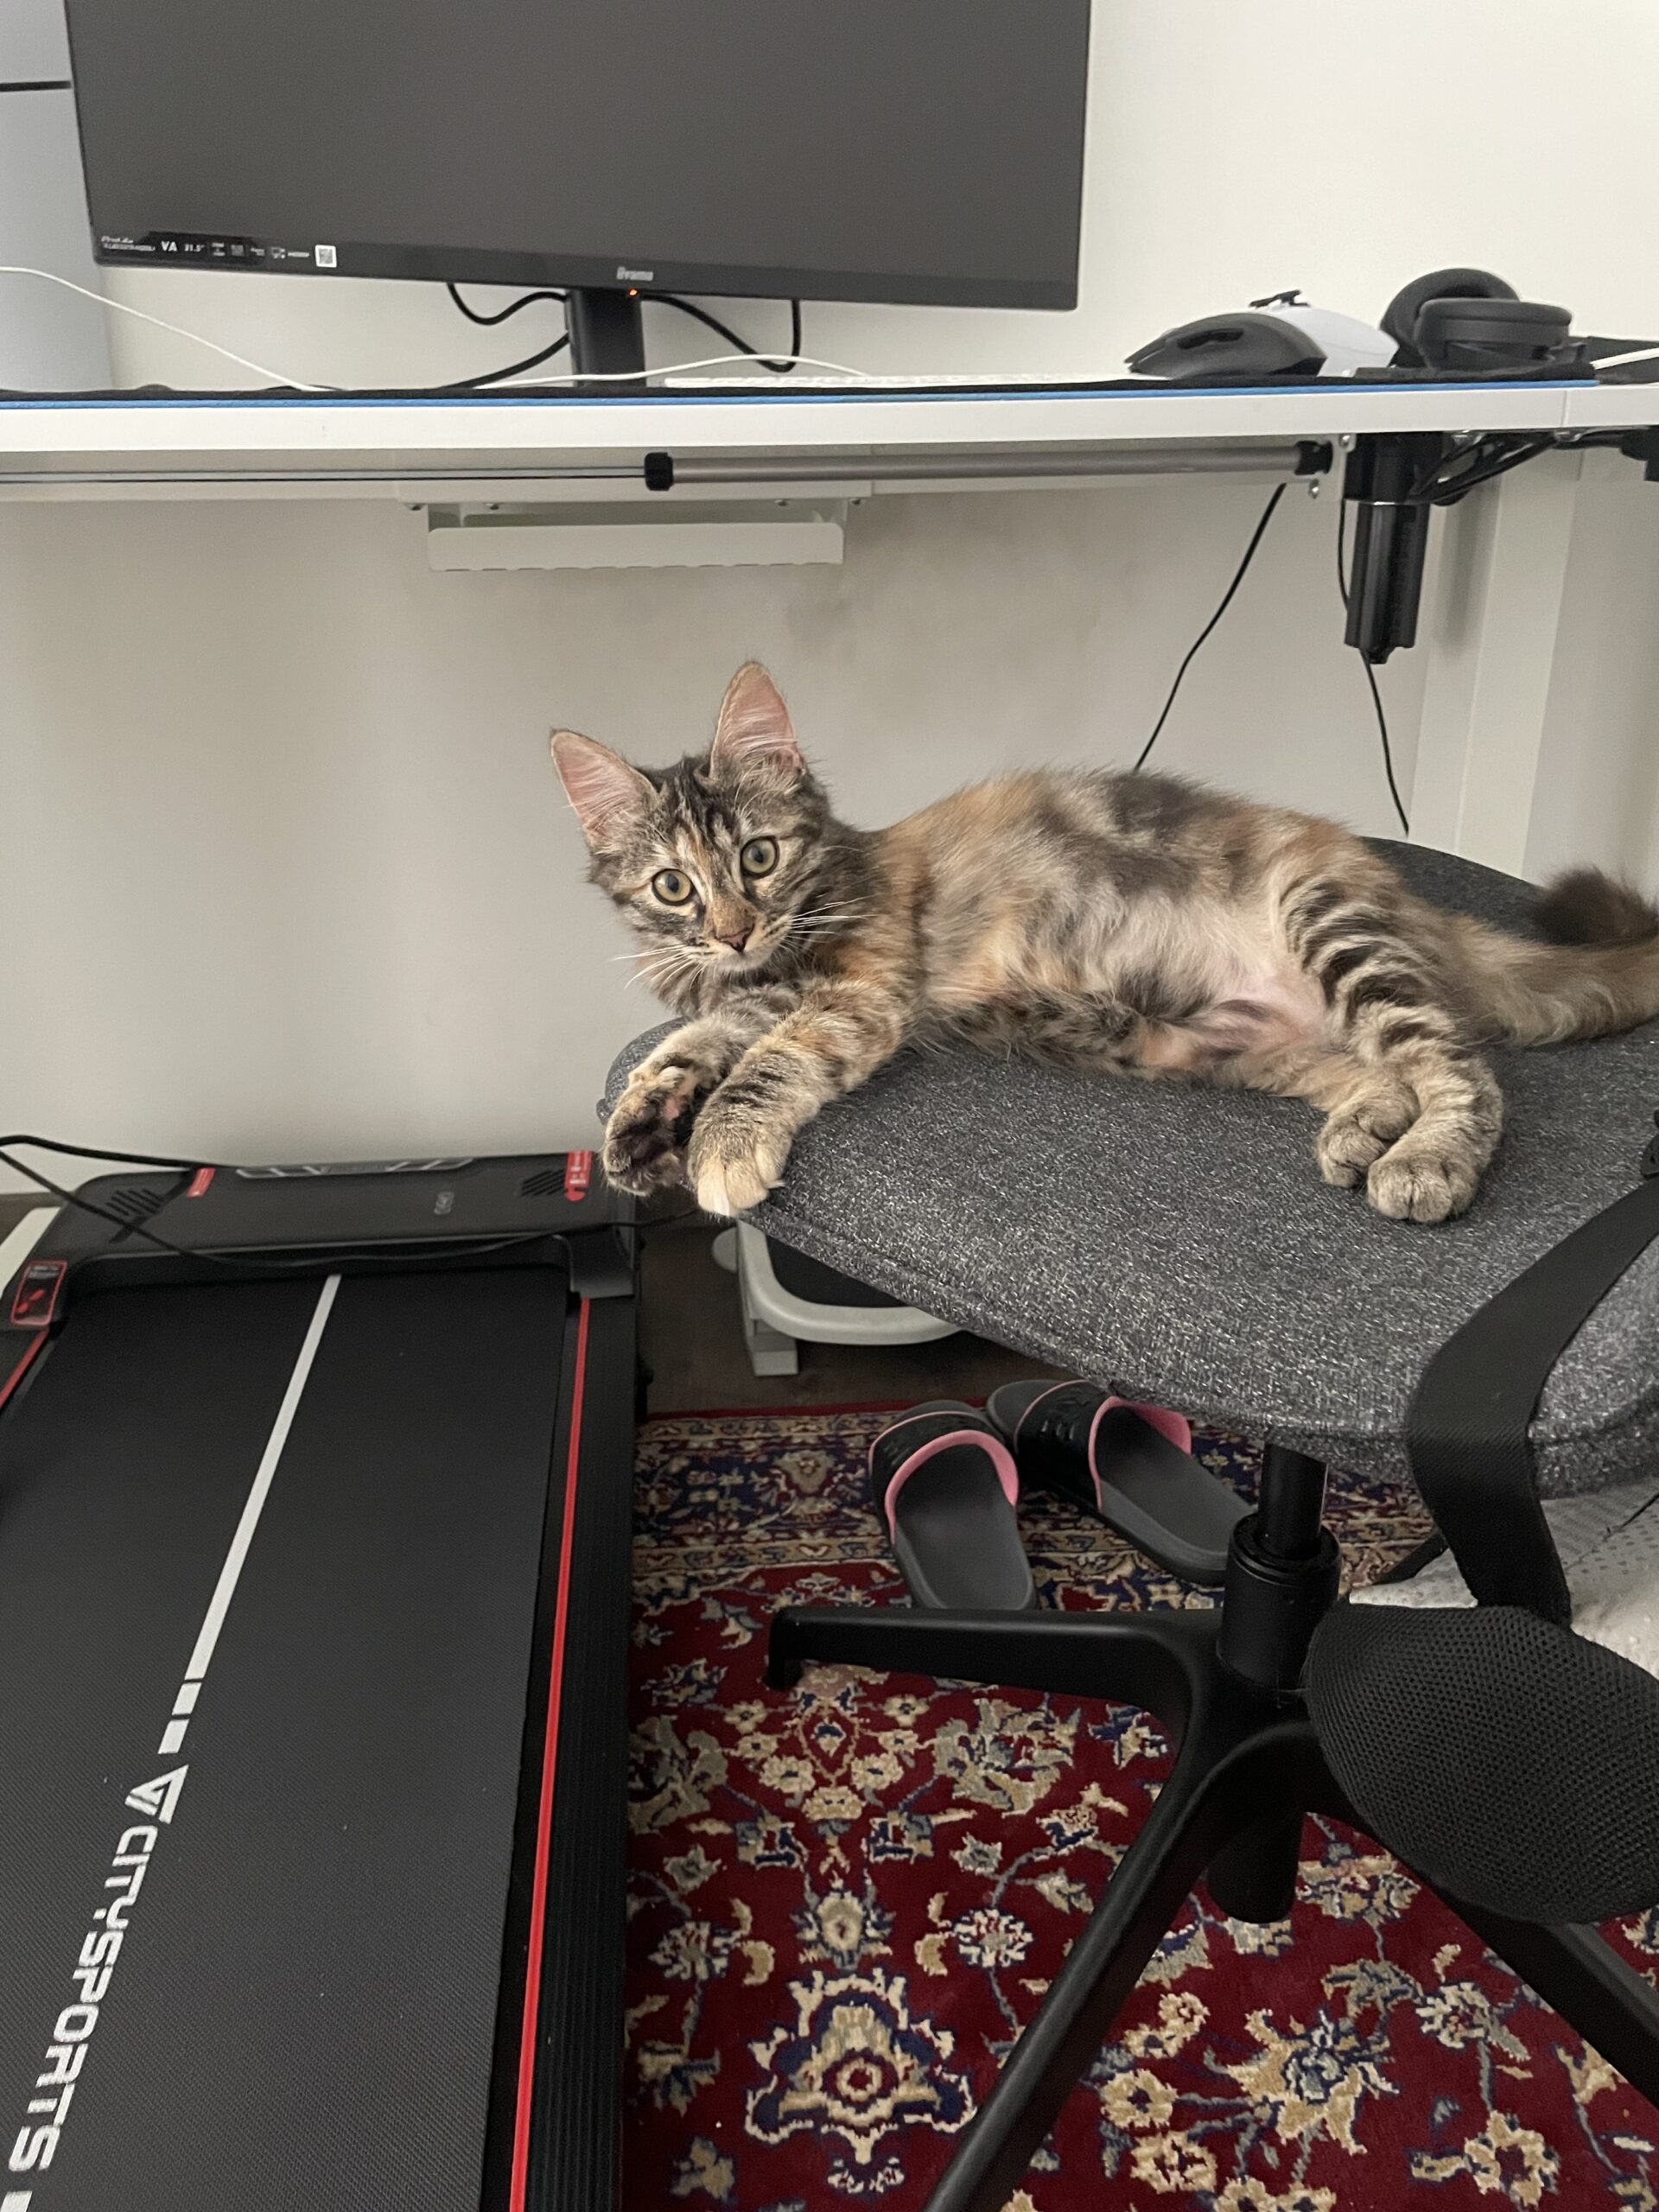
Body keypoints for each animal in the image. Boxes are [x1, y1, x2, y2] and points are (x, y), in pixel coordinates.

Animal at [553, 662, 1659, 1224]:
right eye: (673, 886)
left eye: (760, 857)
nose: (732, 928)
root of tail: (1406, 898)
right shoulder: (760, 992)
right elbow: (692, 1043)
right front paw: (642, 1125)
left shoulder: (859, 989)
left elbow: (767, 1062)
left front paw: (723, 1141)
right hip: (1230, 1044)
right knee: (1382, 1065)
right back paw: (1365, 1126)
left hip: (1332, 926)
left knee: (1460, 1066)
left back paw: (1429, 1157)